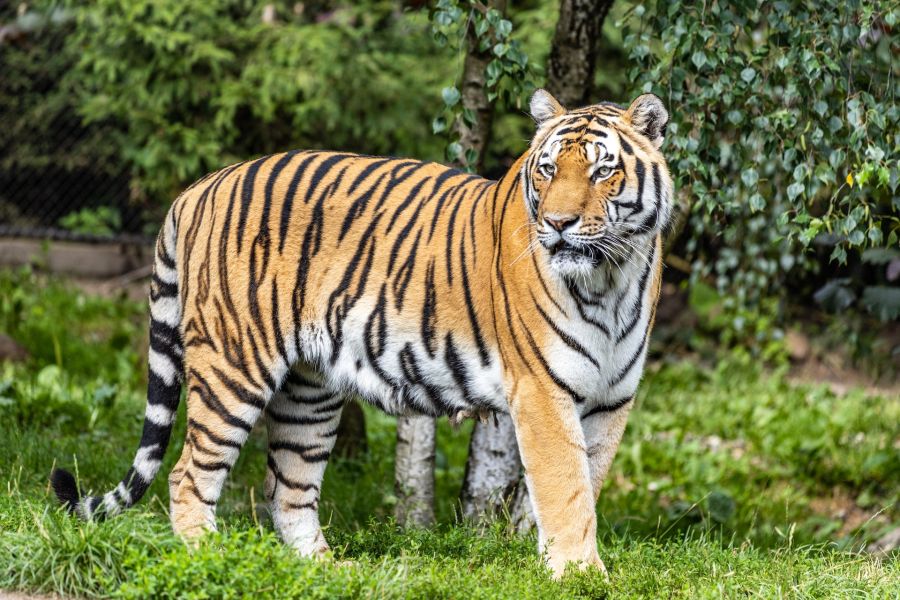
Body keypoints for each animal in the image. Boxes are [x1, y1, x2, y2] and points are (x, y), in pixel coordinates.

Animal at [49, 89, 668, 576]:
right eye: (547, 171)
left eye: (602, 170)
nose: (559, 224)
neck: (612, 277)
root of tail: (197, 188)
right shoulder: (542, 393)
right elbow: (565, 489)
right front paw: (580, 576)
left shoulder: (611, 400)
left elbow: (585, 483)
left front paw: (561, 565)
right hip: (233, 366)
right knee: (187, 473)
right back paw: (207, 559)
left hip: (309, 391)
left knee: (287, 486)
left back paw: (324, 570)